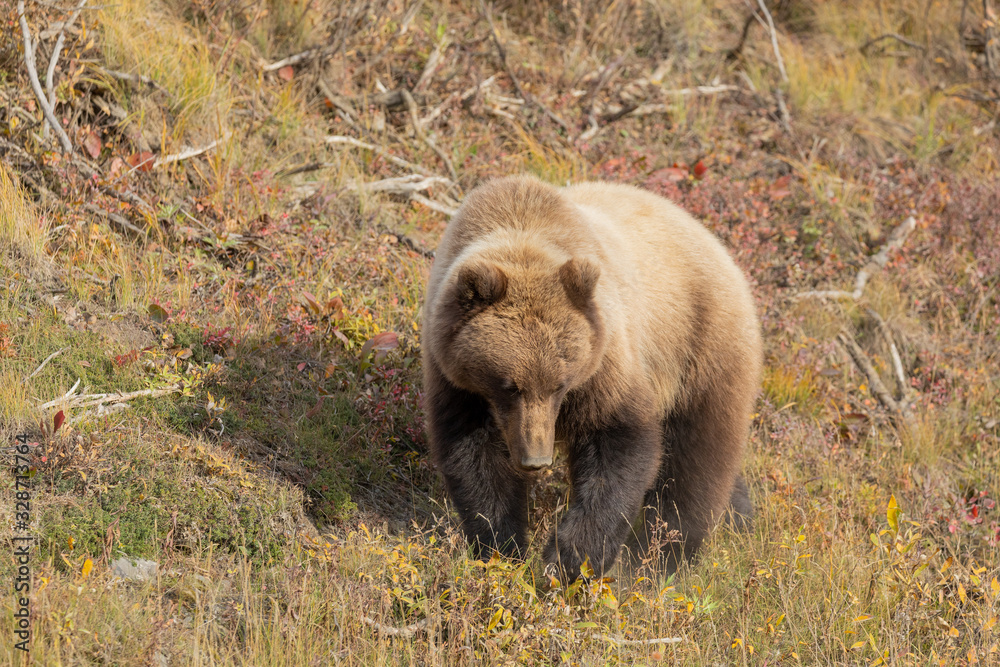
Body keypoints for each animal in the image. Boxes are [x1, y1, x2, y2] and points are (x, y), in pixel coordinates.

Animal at [420, 177, 756, 580]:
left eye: (559, 385)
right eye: (509, 385)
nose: (535, 459)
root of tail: (718, 244)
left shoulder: (604, 360)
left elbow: (618, 443)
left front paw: (569, 558)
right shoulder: (456, 378)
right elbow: (475, 456)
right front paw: (502, 547)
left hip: (699, 348)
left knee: (696, 460)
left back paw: (663, 558)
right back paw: (740, 515)